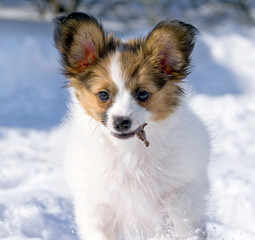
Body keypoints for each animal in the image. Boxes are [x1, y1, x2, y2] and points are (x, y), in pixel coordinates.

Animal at [53, 12, 209, 239]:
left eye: (142, 94)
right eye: (103, 95)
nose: (121, 122)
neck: (128, 152)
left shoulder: (180, 191)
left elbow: (182, 223)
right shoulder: (98, 206)